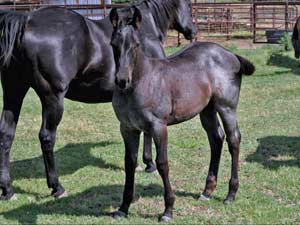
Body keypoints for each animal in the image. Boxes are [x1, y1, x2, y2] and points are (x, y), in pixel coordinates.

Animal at [0, 0, 197, 200]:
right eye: (189, 5)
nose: (192, 31)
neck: (145, 30)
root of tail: (26, 20)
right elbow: (147, 132)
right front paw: (149, 164)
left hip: (13, 91)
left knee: (6, 134)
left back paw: (7, 190)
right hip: (52, 98)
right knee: (47, 137)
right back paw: (57, 187)